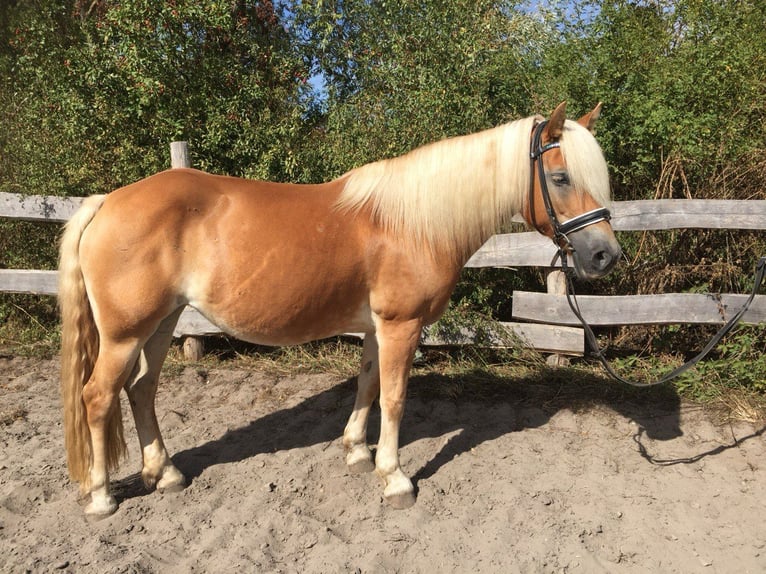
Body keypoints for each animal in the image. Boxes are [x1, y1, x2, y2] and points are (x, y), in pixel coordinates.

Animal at [60, 102, 624, 516]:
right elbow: (394, 397)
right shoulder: (401, 326)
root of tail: (107, 202)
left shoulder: (377, 328)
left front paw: (356, 450)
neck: (411, 223)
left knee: (141, 390)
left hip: (162, 323)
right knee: (97, 397)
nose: (605, 255)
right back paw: (102, 497)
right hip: (124, 334)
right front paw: (395, 478)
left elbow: (368, 385)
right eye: (559, 177)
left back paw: (166, 474)